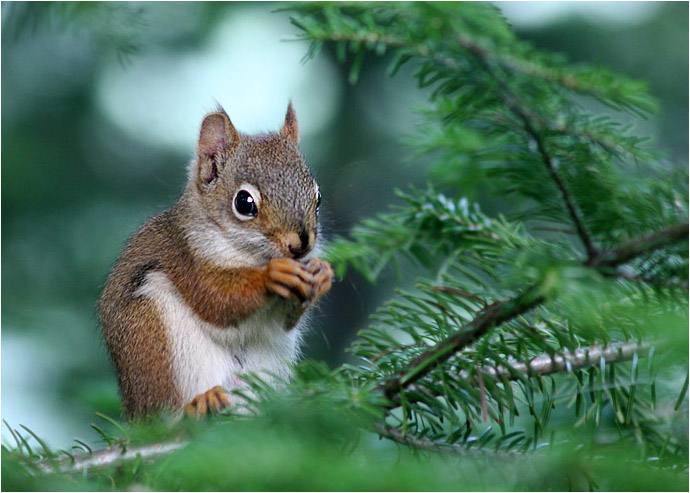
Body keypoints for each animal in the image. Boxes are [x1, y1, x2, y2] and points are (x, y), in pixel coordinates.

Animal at [98, 103, 332, 416]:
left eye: (318, 198)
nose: (301, 245)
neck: (250, 255)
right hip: (152, 338)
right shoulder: (185, 258)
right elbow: (216, 300)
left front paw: (323, 273)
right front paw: (272, 275)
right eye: (244, 203)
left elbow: (284, 323)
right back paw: (198, 405)